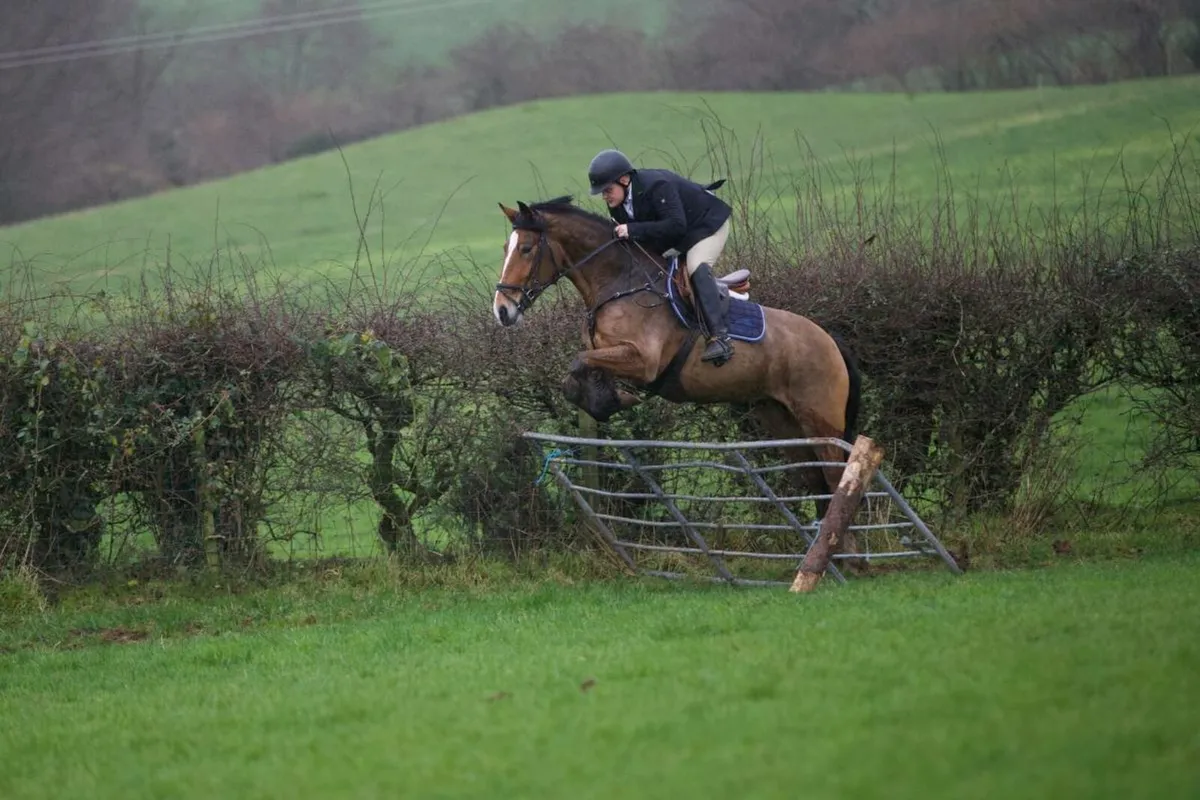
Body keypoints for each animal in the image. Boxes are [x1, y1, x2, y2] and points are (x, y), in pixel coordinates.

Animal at [492, 196, 863, 533]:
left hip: (821, 420)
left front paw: (611, 400)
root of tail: (830, 341)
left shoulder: (644, 361)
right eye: (506, 247)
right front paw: (606, 400)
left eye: (526, 249)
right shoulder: (605, 351)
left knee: (835, 476)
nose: (502, 310)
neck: (620, 283)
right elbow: (577, 375)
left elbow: (579, 363)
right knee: (814, 476)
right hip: (779, 418)